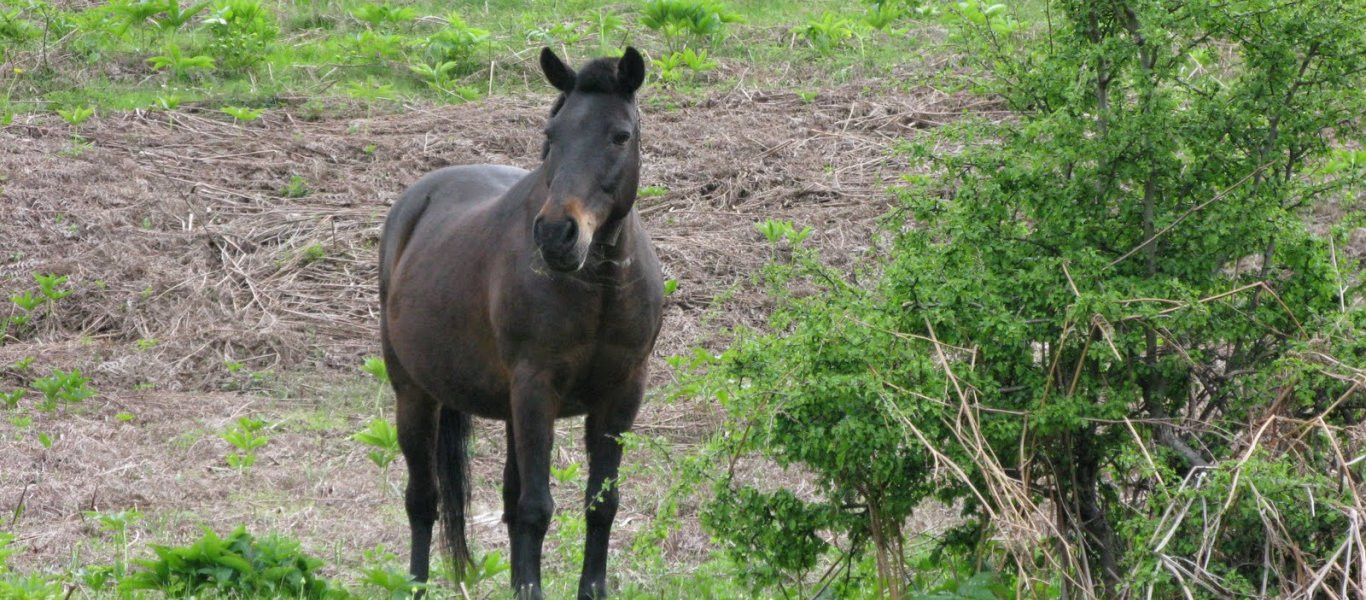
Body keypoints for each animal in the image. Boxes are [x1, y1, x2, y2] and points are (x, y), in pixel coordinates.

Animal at [377, 48, 663, 600]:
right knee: (422, 501)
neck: (597, 288)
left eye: (620, 135)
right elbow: (536, 509)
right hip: (414, 395)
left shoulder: (622, 394)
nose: (555, 234)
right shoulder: (536, 388)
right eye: (552, 134)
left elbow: (601, 504)